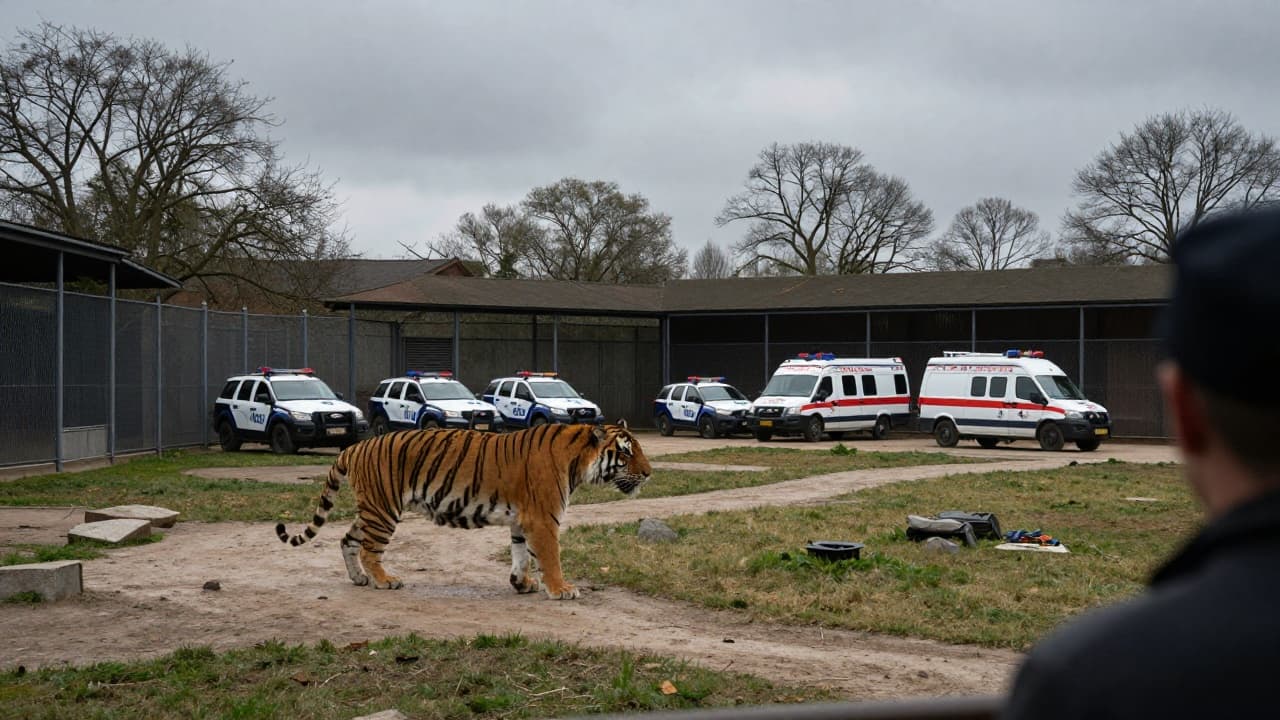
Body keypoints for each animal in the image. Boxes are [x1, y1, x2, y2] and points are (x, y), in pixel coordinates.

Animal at [275, 420, 651, 600]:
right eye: (626, 452)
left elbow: (521, 555)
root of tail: (354, 447)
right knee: (369, 549)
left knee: (347, 540)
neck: (579, 461)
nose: (649, 473)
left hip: (370, 509)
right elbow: (550, 557)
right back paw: (385, 580)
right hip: (383, 509)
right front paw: (561, 589)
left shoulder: (521, 520)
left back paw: (359, 578)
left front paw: (521, 583)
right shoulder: (543, 518)